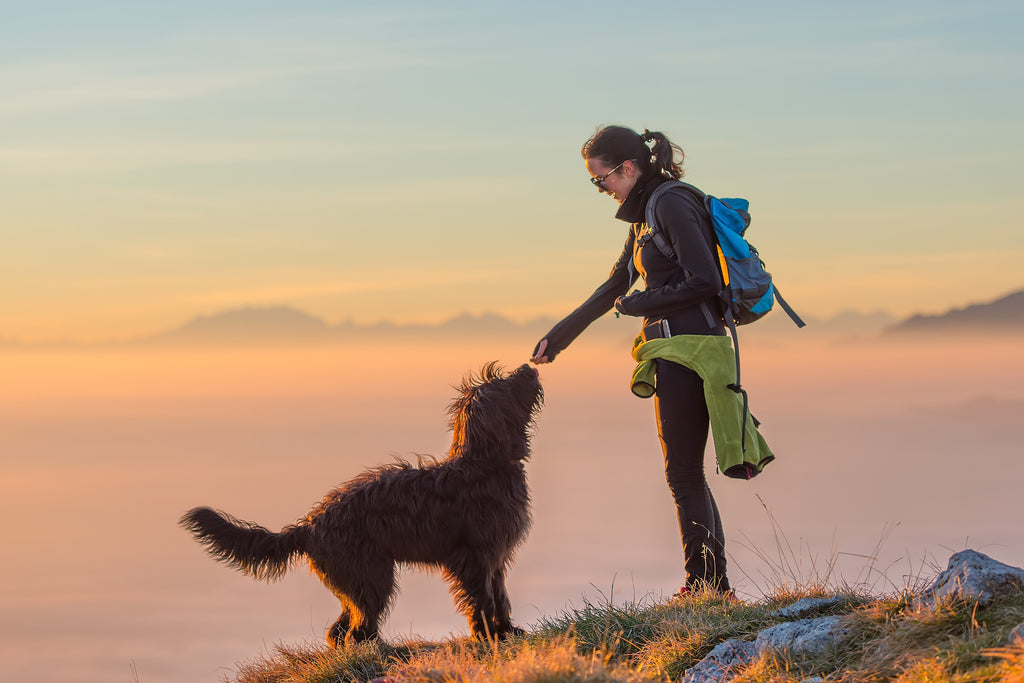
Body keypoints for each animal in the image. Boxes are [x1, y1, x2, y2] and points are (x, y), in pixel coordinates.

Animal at [180, 362, 544, 647]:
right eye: (505, 383)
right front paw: (489, 636)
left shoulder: (496, 556)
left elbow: (501, 595)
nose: (529, 367)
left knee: (340, 629)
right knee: (357, 627)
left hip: (356, 578)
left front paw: (506, 631)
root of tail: (309, 524)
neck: (484, 465)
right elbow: (482, 599)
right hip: (372, 574)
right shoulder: (474, 558)